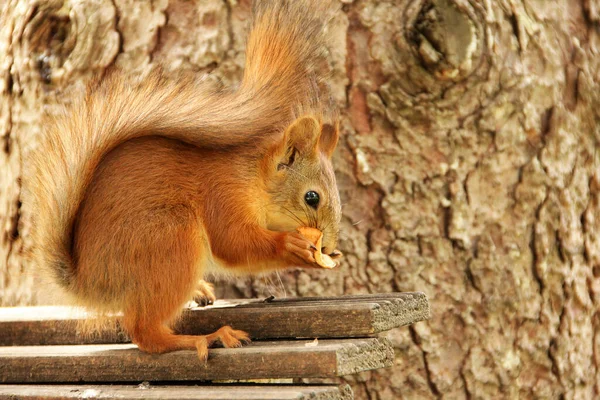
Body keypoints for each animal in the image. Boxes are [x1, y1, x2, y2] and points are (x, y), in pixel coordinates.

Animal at [22, 0, 342, 360]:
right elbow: (233, 243)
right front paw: (292, 246)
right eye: (311, 197)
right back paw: (204, 338)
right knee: (144, 332)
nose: (328, 246)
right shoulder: (223, 194)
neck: (253, 178)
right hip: (170, 239)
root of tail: (89, 284)